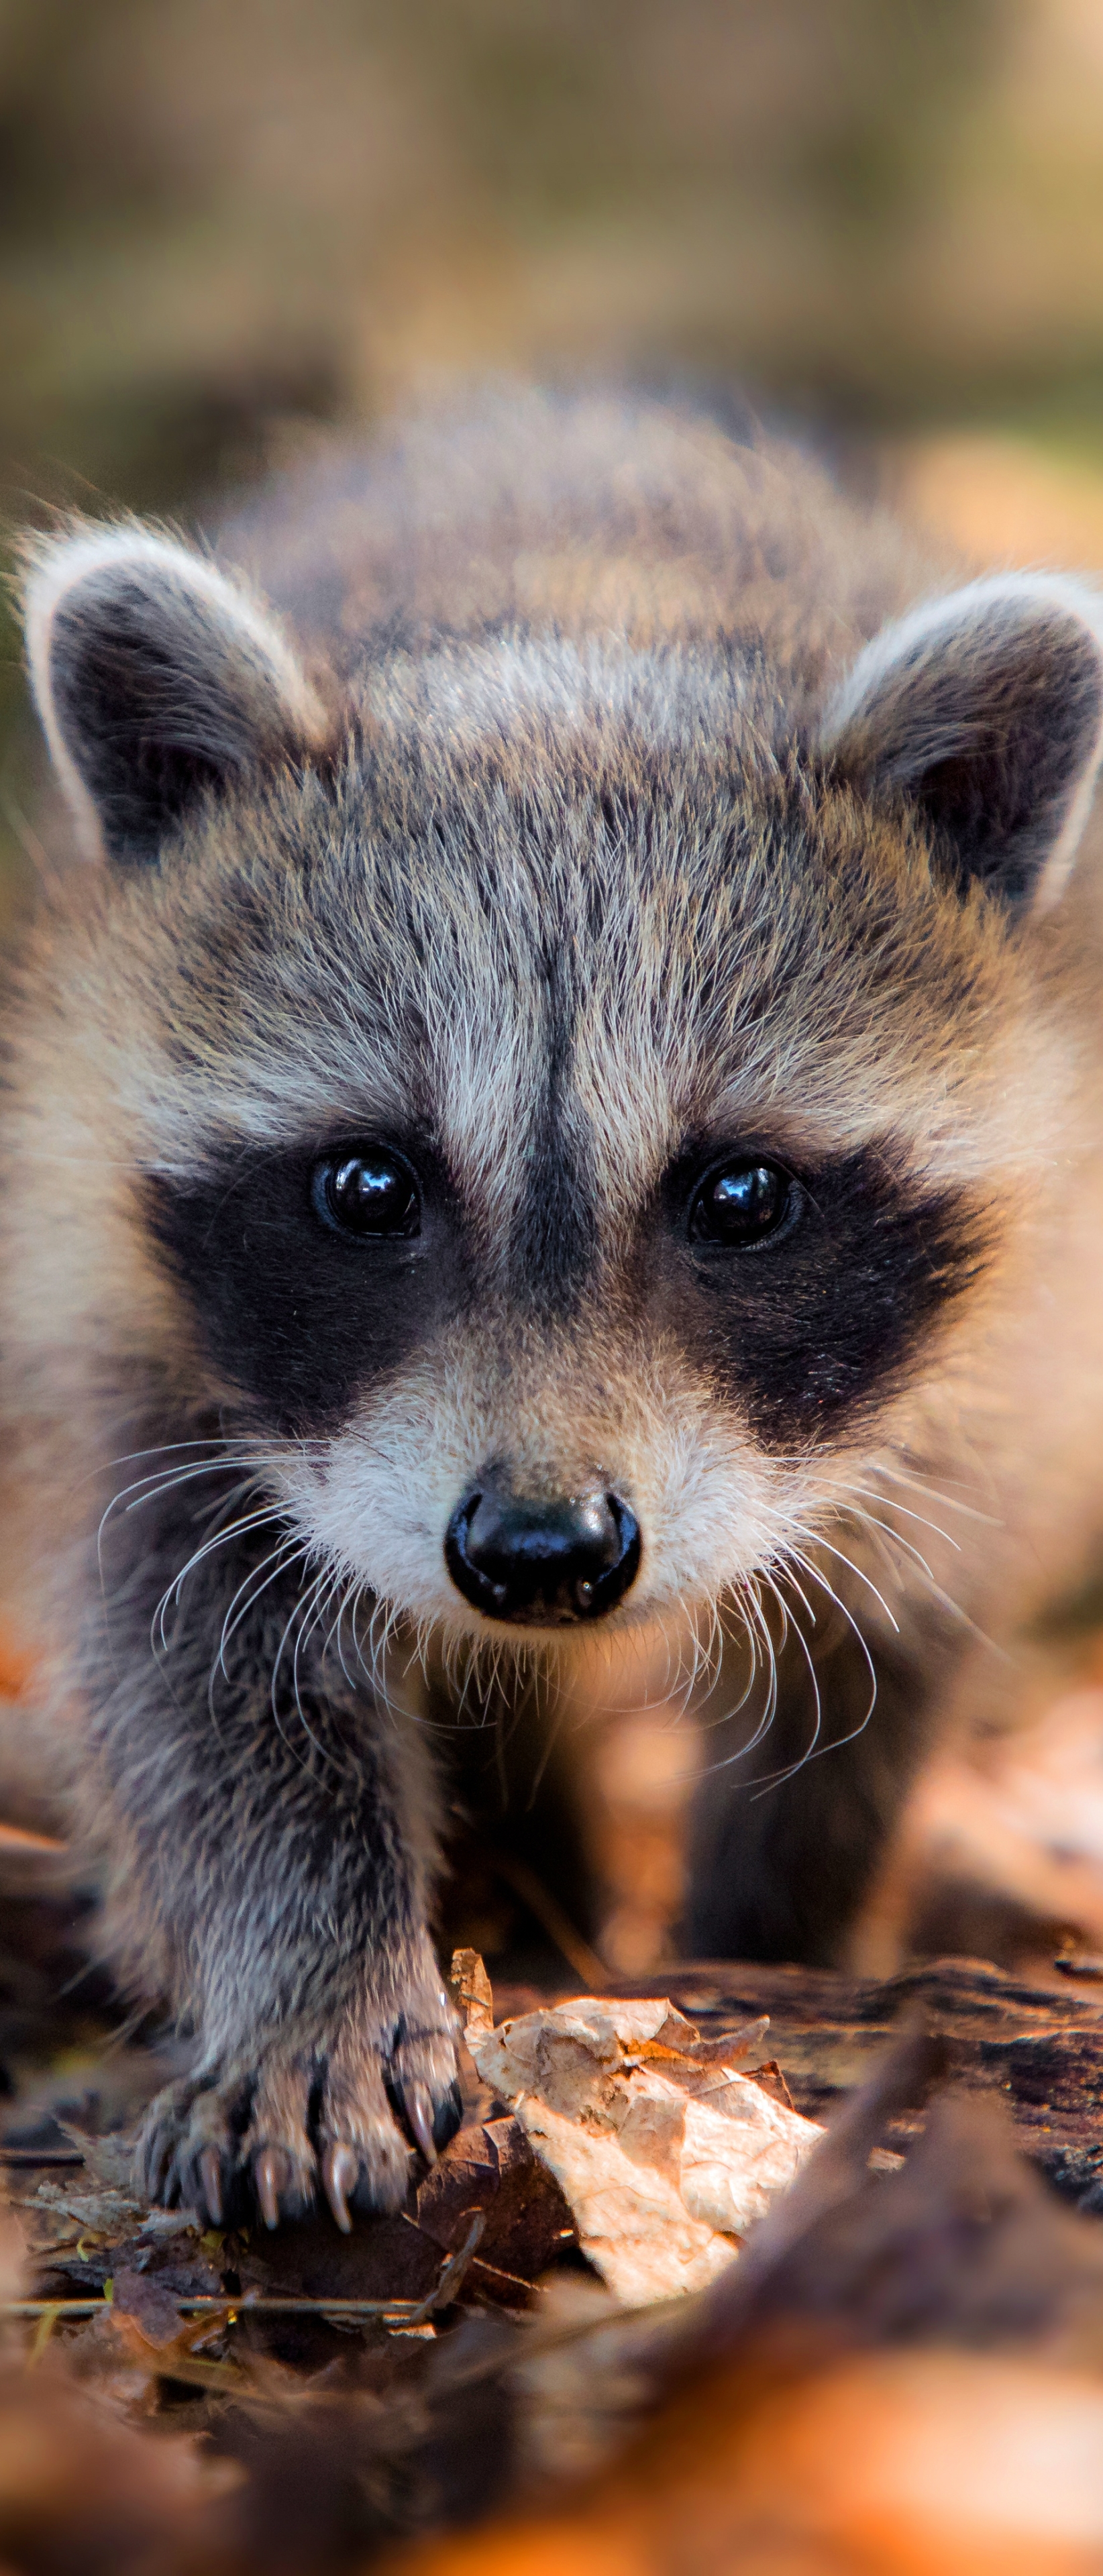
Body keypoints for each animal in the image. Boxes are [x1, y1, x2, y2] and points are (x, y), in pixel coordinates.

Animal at [6, 386, 1103, 2236]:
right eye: (366, 1186)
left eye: (739, 1197)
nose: (539, 1557)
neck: (578, 615)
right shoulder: (115, 1280)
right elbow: (188, 1660)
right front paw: (308, 1977)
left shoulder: (1007, 1337)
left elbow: (881, 1649)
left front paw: (776, 1935)